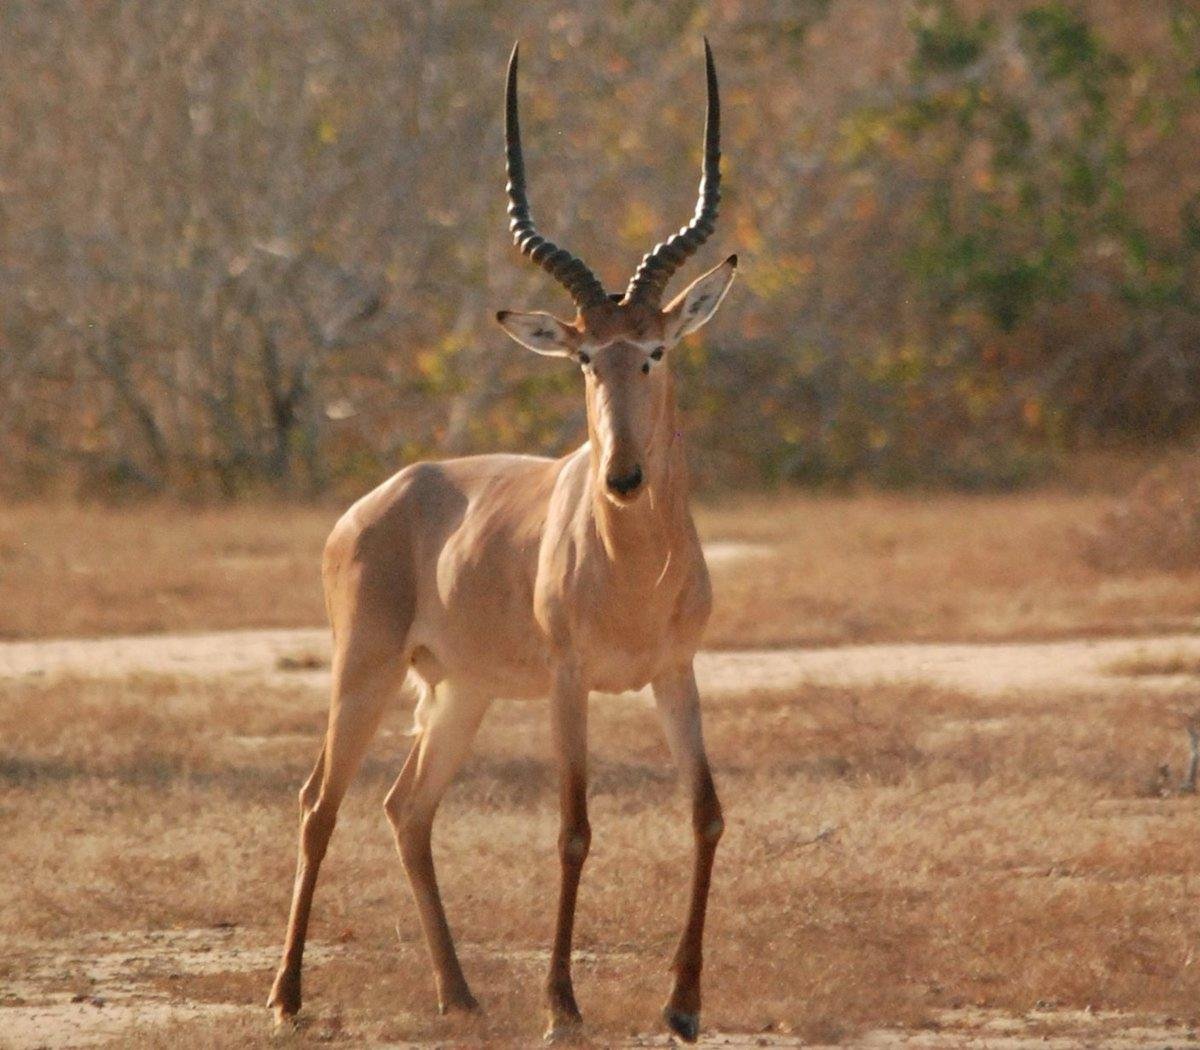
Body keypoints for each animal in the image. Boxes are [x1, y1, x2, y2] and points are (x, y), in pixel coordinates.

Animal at [270, 39, 739, 1041]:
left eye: (656, 350)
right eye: (583, 357)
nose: (623, 477)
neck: (633, 572)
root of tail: (379, 499)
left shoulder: (675, 672)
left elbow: (706, 813)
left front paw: (683, 1005)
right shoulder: (569, 679)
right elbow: (573, 829)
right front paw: (562, 1006)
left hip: (463, 691)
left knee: (406, 807)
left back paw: (460, 993)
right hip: (364, 670)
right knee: (319, 802)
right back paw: (286, 997)